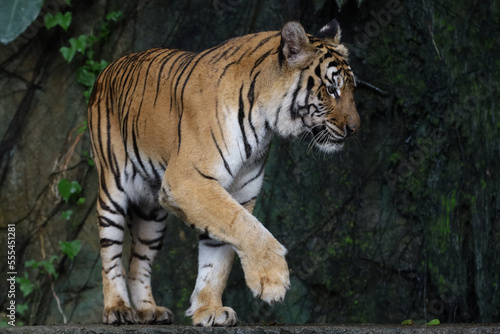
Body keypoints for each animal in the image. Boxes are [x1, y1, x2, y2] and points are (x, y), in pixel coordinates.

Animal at [87, 18, 360, 326]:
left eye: (352, 89)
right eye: (332, 89)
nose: (355, 129)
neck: (264, 123)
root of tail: (109, 67)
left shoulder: (239, 193)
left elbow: (218, 256)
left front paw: (210, 309)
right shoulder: (188, 182)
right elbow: (244, 227)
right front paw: (272, 279)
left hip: (151, 215)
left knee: (138, 262)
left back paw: (149, 310)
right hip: (112, 191)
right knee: (111, 256)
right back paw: (118, 308)